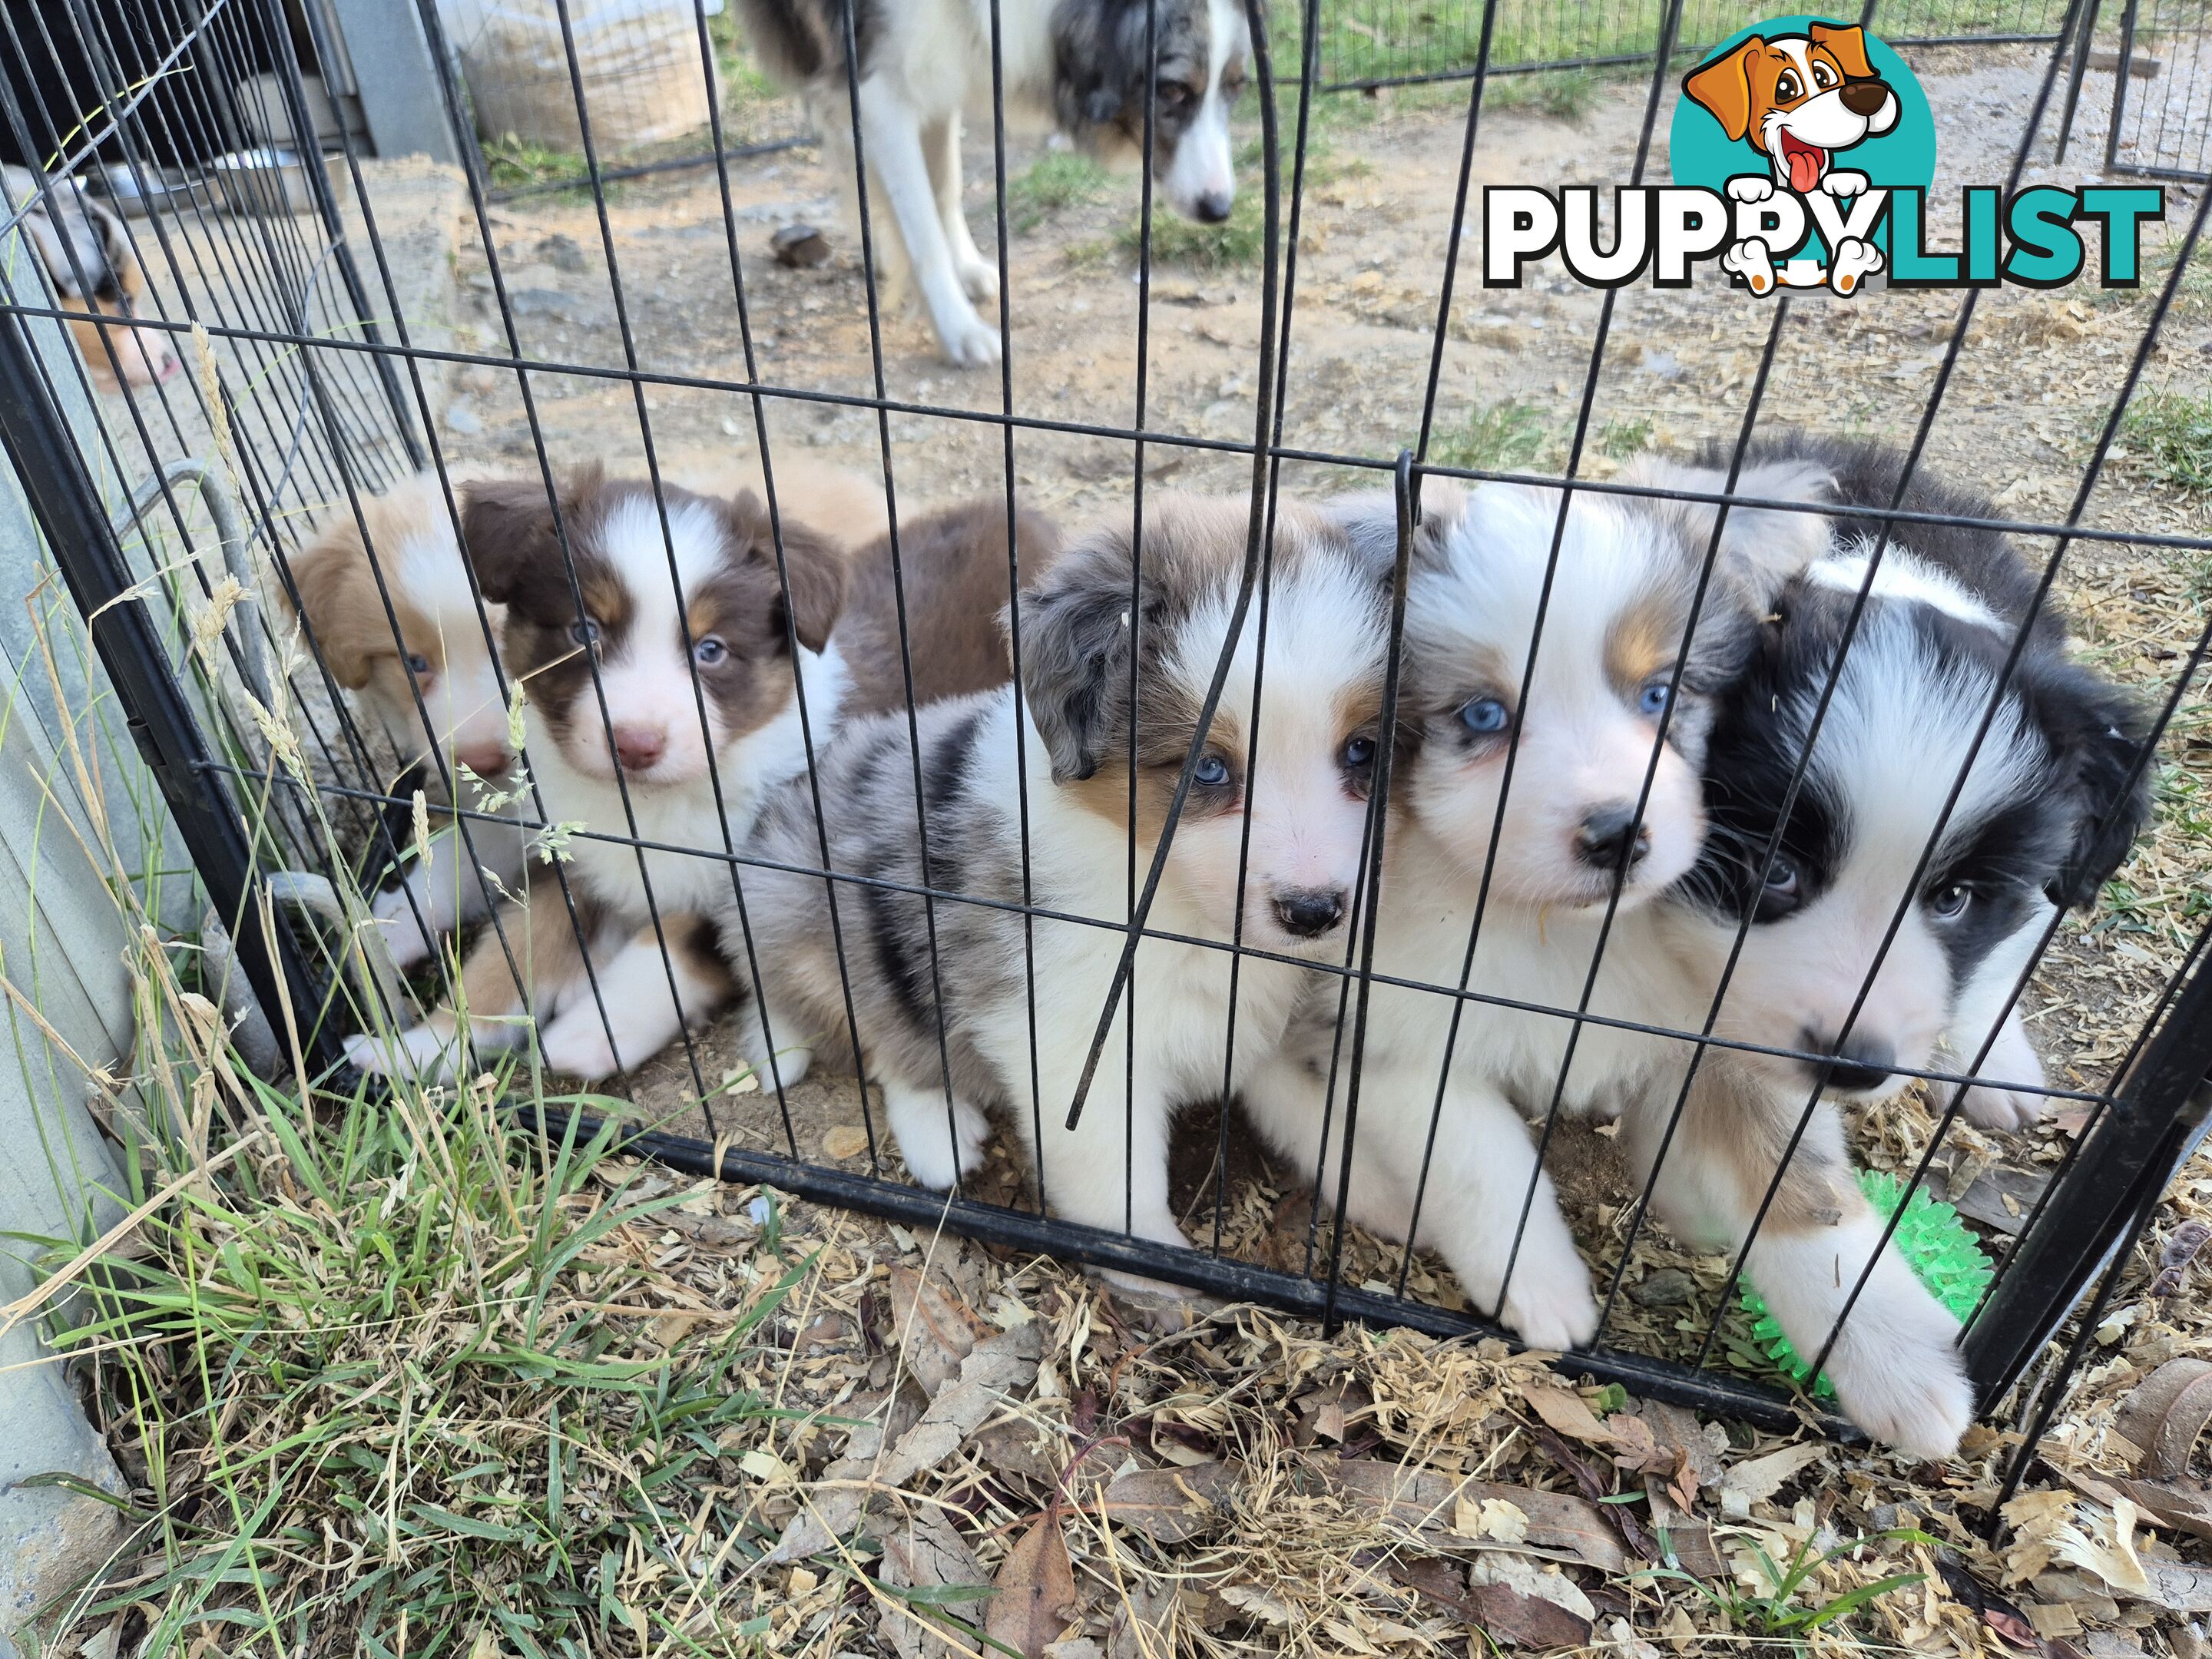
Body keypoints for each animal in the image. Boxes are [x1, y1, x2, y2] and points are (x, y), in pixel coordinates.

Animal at [717, 499, 1389, 1256]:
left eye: (1363, 751)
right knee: (876, 1032)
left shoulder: (1255, 1025)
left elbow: (1320, 1118)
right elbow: (1118, 1188)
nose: (1314, 912)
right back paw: (936, 1138)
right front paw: (1153, 1264)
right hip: (817, 919)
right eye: (1207, 768)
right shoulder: (1069, 1040)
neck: (1177, 909)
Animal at [738, 0, 1247, 367]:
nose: (1219, 210)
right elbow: (922, 235)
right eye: (1173, 89)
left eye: (1236, 87)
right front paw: (957, 331)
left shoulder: (936, 76)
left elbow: (945, 188)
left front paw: (965, 269)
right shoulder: (876, 92)